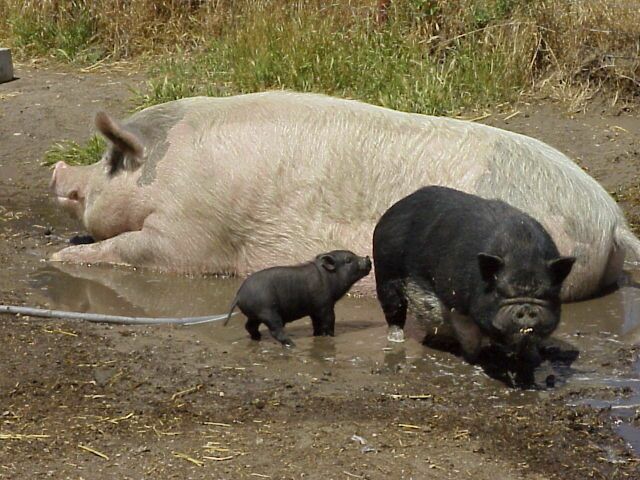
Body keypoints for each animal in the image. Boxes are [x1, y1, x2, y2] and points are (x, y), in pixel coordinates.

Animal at [228, 251, 372, 344]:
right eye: (348, 260)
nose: (367, 258)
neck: (328, 277)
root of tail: (238, 295)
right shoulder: (325, 305)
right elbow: (329, 320)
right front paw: (331, 336)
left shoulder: (314, 310)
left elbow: (316, 323)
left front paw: (317, 334)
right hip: (268, 311)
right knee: (275, 330)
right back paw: (291, 344)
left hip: (255, 315)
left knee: (249, 326)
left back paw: (258, 338)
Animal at [370, 187, 576, 364]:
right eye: (501, 292)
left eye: (545, 295)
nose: (525, 308)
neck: (522, 252)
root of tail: (392, 210)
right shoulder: (456, 301)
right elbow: (469, 335)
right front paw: (472, 360)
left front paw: (535, 360)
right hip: (385, 272)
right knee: (394, 310)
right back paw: (397, 339)